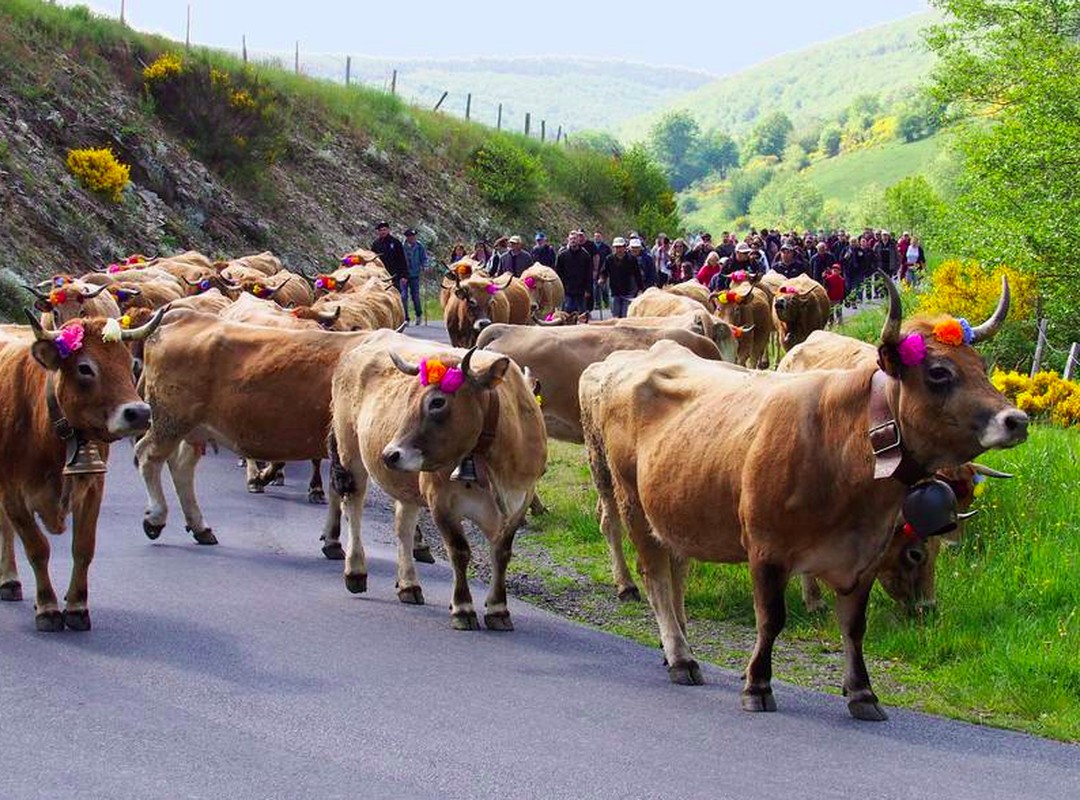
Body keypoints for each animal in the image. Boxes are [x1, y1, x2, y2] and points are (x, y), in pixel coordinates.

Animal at [0, 308, 162, 626]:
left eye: (128, 363)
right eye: (85, 368)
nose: (139, 413)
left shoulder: (92, 485)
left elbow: (84, 548)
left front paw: (76, 606)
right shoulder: (12, 492)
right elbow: (37, 547)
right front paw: (48, 607)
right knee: (6, 529)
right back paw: (9, 580)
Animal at [326, 330, 548, 630]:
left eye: (437, 401)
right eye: (409, 398)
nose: (390, 454)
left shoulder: (519, 502)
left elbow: (501, 554)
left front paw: (498, 609)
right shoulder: (441, 501)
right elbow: (460, 551)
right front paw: (463, 608)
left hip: (406, 485)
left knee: (403, 526)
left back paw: (409, 584)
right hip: (350, 453)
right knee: (353, 506)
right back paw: (356, 571)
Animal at [583, 278, 1028, 721]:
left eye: (982, 366)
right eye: (939, 372)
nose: (1017, 420)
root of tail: (631, 359)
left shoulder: (863, 558)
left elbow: (854, 626)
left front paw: (862, 692)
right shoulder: (766, 550)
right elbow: (771, 620)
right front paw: (757, 684)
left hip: (673, 509)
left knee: (676, 571)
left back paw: (674, 643)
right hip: (632, 502)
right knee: (656, 575)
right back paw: (680, 656)